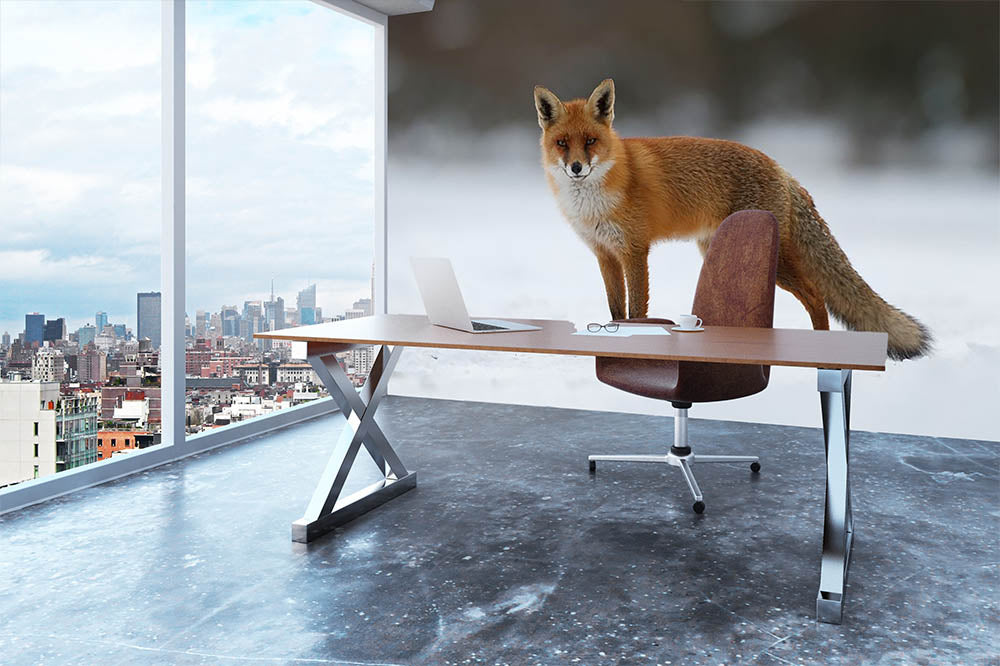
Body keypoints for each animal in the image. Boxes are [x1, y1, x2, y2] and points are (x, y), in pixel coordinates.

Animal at [533, 78, 931, 361]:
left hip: (775, 259)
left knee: (816, 295)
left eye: (590, 141)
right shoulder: (604, 254)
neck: (593, 202)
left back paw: (820, 346)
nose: (576, 167)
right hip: (726, 252)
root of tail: (781, 168)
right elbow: (615, 310)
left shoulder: (635, 250)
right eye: (562, 143)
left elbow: (635, 311)